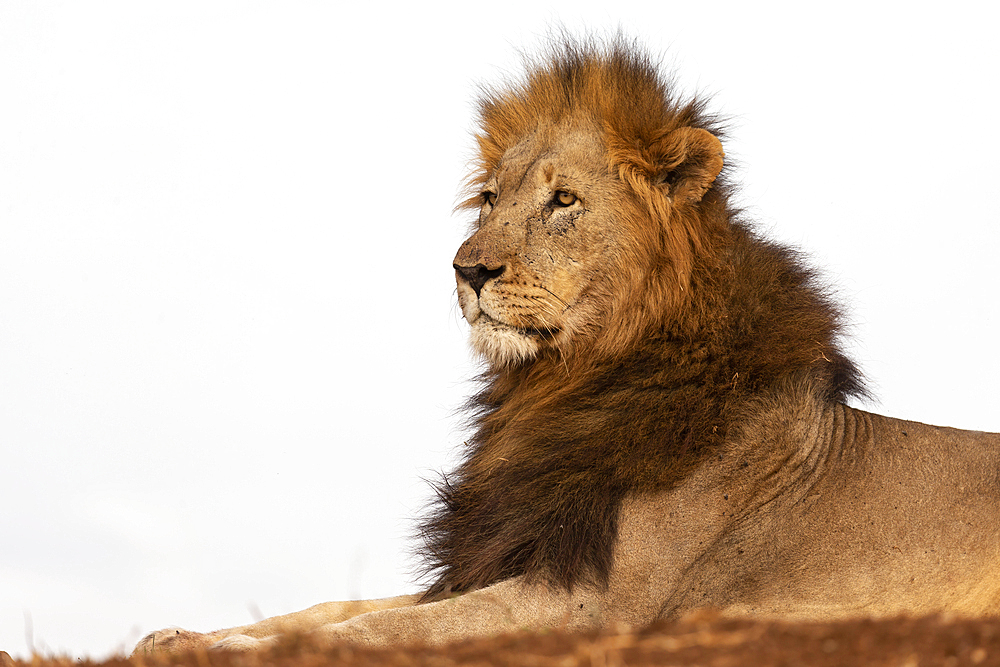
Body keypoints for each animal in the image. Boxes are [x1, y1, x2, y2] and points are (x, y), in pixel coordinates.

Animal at [135, 35, 1000, 652]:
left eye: (562, 201)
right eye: (490, 198)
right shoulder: (509, 554)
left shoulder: (593, 600)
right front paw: (181, 635)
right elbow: (336, 602)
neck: (560, 381)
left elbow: (384, 626)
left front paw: (229, 648)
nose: (467, 268)